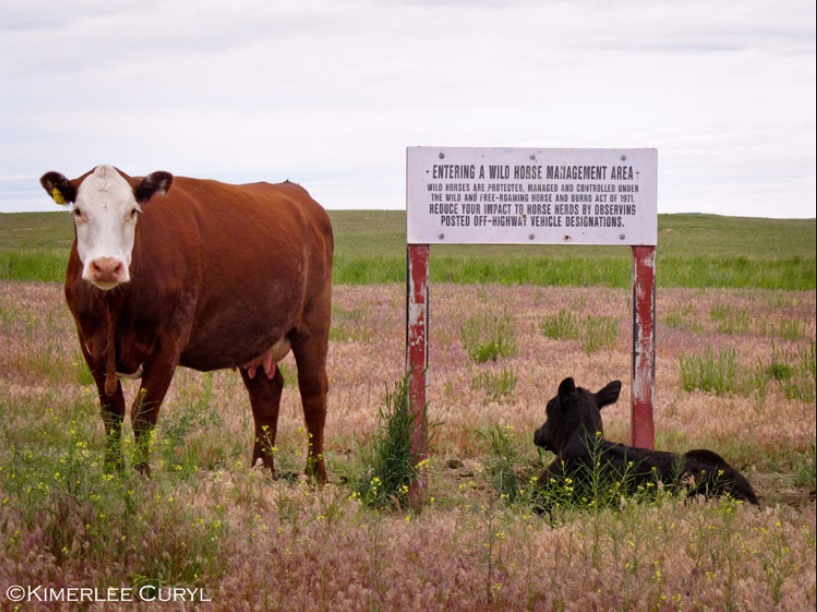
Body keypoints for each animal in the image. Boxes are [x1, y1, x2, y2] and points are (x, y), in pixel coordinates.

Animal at [40, 165, 333, 481]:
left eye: (133, 211)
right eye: (78, 211)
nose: (106, 266)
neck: (114, 305)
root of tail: (299, 196)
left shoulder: (169, 342)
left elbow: (144, 412)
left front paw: (141, 476)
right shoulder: (89, 343)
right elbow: (112, 411)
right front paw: (112, 473)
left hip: (313, 321)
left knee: (313, 390)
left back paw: (315, 474)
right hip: (252, 335)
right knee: (265, 392)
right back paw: (261, 469)